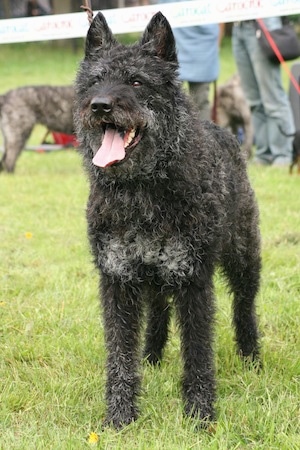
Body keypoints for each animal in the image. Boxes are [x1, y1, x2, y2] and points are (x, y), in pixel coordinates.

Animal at [74, 12, 262, 430]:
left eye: (136, 81)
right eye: (95, 80)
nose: (100, 105)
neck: (141, 190)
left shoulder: (193, 280)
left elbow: (198, 352)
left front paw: (199, 415)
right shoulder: (117, 280)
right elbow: (120, 356)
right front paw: (120, 417)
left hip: (243, 256)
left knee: (244, 306)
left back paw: (252, 358)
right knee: (158, 311)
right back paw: (152, 357)